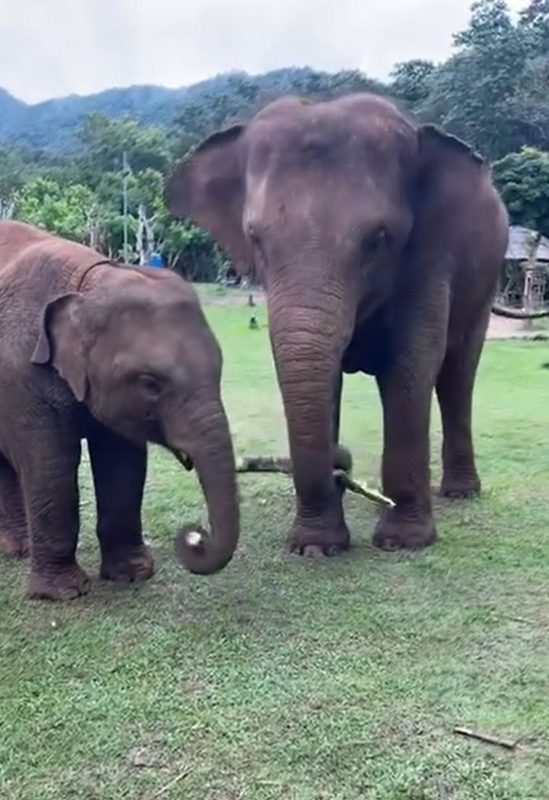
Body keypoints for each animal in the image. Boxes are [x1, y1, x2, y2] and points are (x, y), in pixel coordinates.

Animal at [0, 222, 239, 596]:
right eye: (151, 383)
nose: (195, 536)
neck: (88, 282)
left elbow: (123, 462)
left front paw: (133, 574)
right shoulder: (21, 373)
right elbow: (51, 464)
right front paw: (63, 594)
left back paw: (19, 550)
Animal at [167, 94, 520, 556]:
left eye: (379, 238)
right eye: (255, 238)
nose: (342, 465)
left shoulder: (429, 257)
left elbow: (409, 368)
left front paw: (402, 542)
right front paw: (316, 547)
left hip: (485, 281)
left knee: (458, 373)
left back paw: (460, 492)